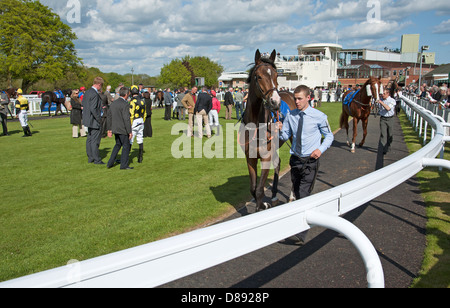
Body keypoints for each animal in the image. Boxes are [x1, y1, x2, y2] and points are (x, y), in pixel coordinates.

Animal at [237, 49, 284, 212]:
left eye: (276, 75)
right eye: (259, 76)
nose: (275, 102)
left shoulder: (265, 157)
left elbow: (259, 190)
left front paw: (261, 205)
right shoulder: (250, 157)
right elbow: (253, 188)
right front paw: (262, 203)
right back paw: (274, 195)